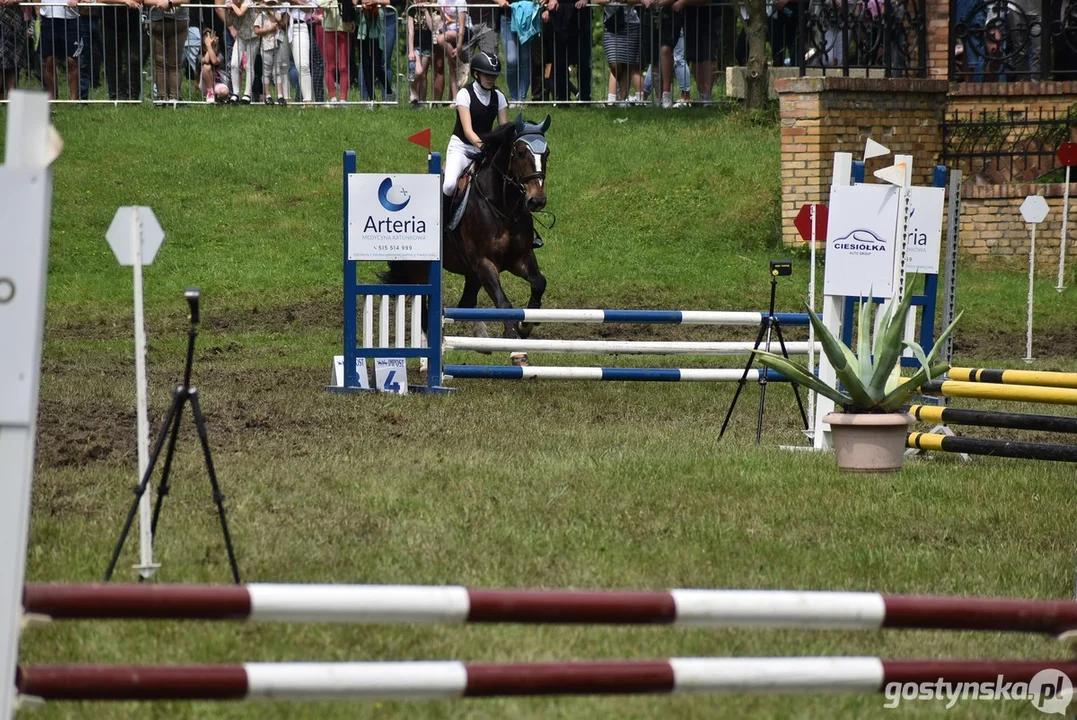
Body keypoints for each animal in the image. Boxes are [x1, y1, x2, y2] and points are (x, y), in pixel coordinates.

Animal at [379, 113, 551, 365]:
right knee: (423, 306)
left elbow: (539, 283)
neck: (503, 206)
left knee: (466, 303)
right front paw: (517, 350)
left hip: (471, 271)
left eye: (546, 153)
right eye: (520, 152)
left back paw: (481, 338)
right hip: (423, 268)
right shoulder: (485, 263)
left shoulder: (520, 258)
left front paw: (526, 326)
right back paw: (426, 358)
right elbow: (503, 302)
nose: (537, 200)